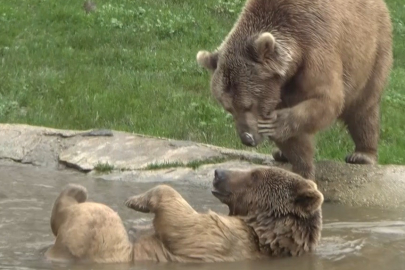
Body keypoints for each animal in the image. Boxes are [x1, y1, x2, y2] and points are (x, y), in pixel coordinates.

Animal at [45, 167, 322, 264]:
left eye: (254, 174)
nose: (218, 172)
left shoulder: (228, 239)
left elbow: (183, 223)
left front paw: (137, 200)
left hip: (105, 247)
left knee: (97, 216)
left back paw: (75, 192)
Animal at [196, 0, 392, 179]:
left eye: (248, 105)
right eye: (229, 108)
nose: (247, 138)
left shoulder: (316, 48)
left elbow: (327, 99)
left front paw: (276, 124)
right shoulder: (279, 88)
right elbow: (295, 140)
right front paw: (302, 168)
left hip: (372, 51)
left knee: (363, 107)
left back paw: (362, 154)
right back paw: (280, 154)